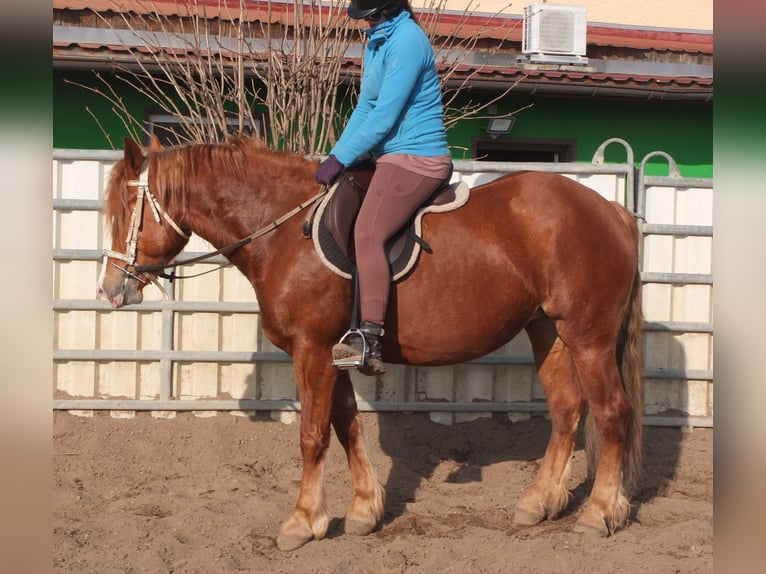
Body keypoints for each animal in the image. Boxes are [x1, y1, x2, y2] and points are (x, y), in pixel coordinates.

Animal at [99, 136, 644, 552]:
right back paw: (540, 502)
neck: (283, 230)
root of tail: (611, 210)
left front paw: (303, 522)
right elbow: (346, 425)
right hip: (548, 331)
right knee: (567, 409)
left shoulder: (312, 350)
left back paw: (599, 513)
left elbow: (312, 435)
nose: (111, 290)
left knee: (611, 412)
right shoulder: (335, 352)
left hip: (589, 336)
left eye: (128, 211)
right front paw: (363, 510)